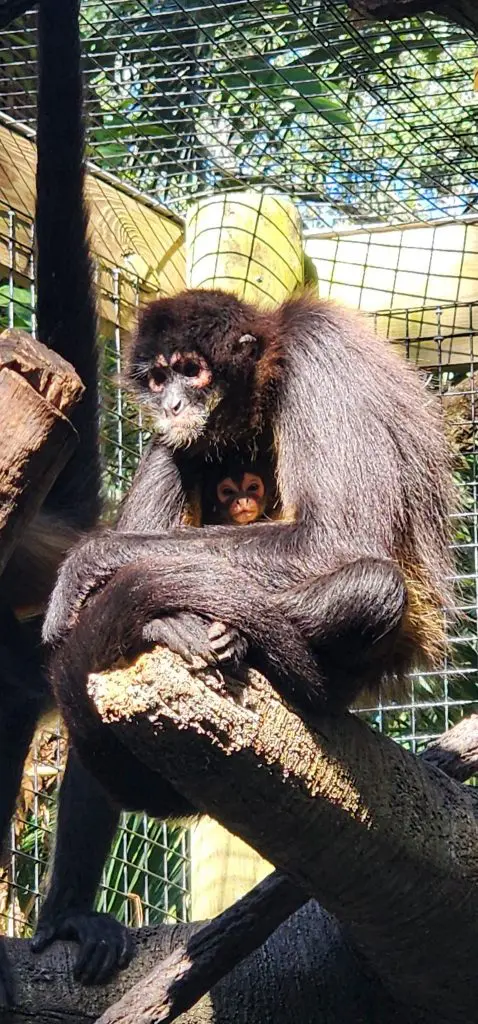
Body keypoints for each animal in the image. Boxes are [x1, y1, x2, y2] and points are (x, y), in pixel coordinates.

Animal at [41, 288, 456, 823]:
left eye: (191, 370)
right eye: (158, 379)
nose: (172, 404)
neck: (271, 370)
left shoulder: (317, 352)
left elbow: (334, 539)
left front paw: (86, 561)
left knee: (373, 588)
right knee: (176, 447)